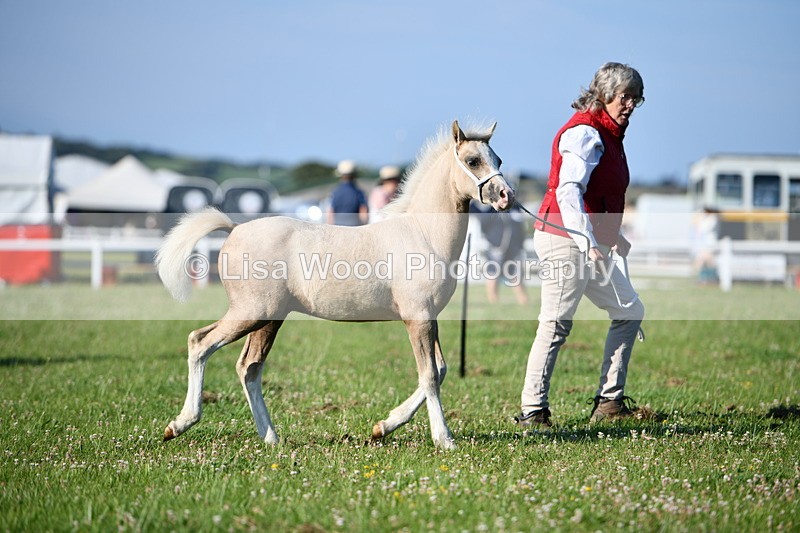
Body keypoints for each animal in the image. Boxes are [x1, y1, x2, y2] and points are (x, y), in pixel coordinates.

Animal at [155, 121, 514, 449]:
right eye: (472, 161)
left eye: (498, 159)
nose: (506, 196)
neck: (422, 233)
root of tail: (234, 229)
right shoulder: (418, 318)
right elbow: (429, 376)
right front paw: (444, 439)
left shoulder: (429, 318)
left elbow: (439, 369)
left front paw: (382, 427)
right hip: (250, 313)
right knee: (200, 343)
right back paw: (180, 424)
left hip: (269, 319)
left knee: (249, 368)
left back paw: (271, 438)